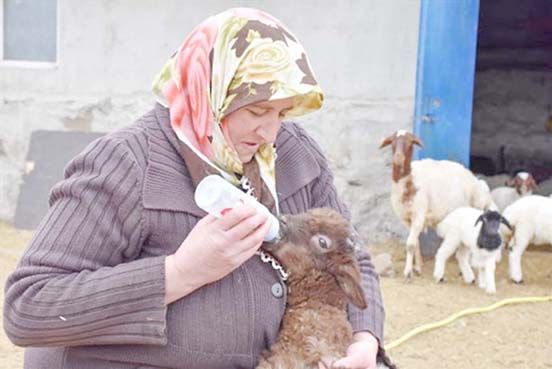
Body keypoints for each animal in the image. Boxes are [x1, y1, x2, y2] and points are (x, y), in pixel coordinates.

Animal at [380, 131, 496, 278]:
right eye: (392, 142)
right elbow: (415, 243)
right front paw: (418, 268)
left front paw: (408, 272)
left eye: (410, 143)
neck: (409, 181)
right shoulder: (406, 218)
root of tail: (474, 178)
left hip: (477, 207)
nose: (398, 157)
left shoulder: (419, 214)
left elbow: (410, 244)